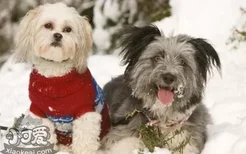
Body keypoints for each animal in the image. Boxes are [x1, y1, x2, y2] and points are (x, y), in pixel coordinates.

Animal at [13, 2, 109, 154]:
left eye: (68, 29)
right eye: (48, 25)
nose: (58, 35)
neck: (56, 77)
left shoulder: (85, 111)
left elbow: (84, 141)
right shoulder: (39, 111)